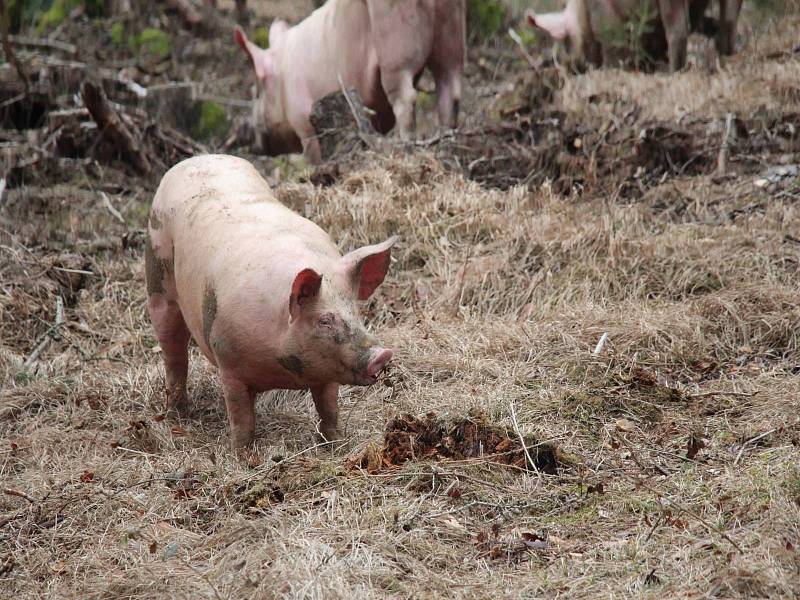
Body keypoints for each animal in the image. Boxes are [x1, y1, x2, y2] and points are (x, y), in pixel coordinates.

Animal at [147, 152, 396, 448]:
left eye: (356, 312)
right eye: (324, 320)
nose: (382, 354)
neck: (280, 365)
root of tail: (197, 158)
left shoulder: (326, 369)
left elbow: (328, 407)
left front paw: (335, 442)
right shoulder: (227, 361)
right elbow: (241, 418)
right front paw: (241, 453)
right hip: (157, 273)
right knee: (173, 349)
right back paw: (177, 413)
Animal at [234, 0, 466, 163]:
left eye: (256, 92)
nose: (252, 143)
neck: (282, 76)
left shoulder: (303, 121)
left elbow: (313, 155)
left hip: (396, 46)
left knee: (405, 100)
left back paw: (405, 147)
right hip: (451, 30)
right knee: (450, 91)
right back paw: (447, 141)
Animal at [532, 0, 744, 72]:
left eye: (567, 42)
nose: (571, 68)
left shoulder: (608, 24)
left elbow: (614, 53)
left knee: (678, 31)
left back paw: (673, 72)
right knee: (729, 21)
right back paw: (727, 57)